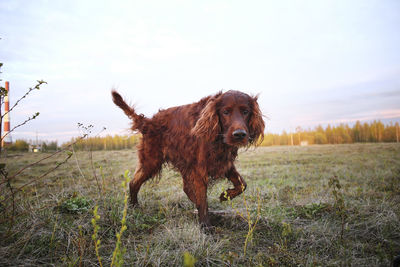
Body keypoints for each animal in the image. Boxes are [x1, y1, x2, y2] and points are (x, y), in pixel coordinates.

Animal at [111, 90, 264, 228]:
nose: (239, 134)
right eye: (226, 112)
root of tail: (148, 122)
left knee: (185, 188)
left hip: (182, 162)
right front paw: (206, 226)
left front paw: (226, 195)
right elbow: (203, 199)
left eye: (246, 111)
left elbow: (242, 184)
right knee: (133, 183)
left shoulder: (223, 162)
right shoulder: (200, 168)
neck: (217, 139)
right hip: (151, 161)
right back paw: (134, 206)